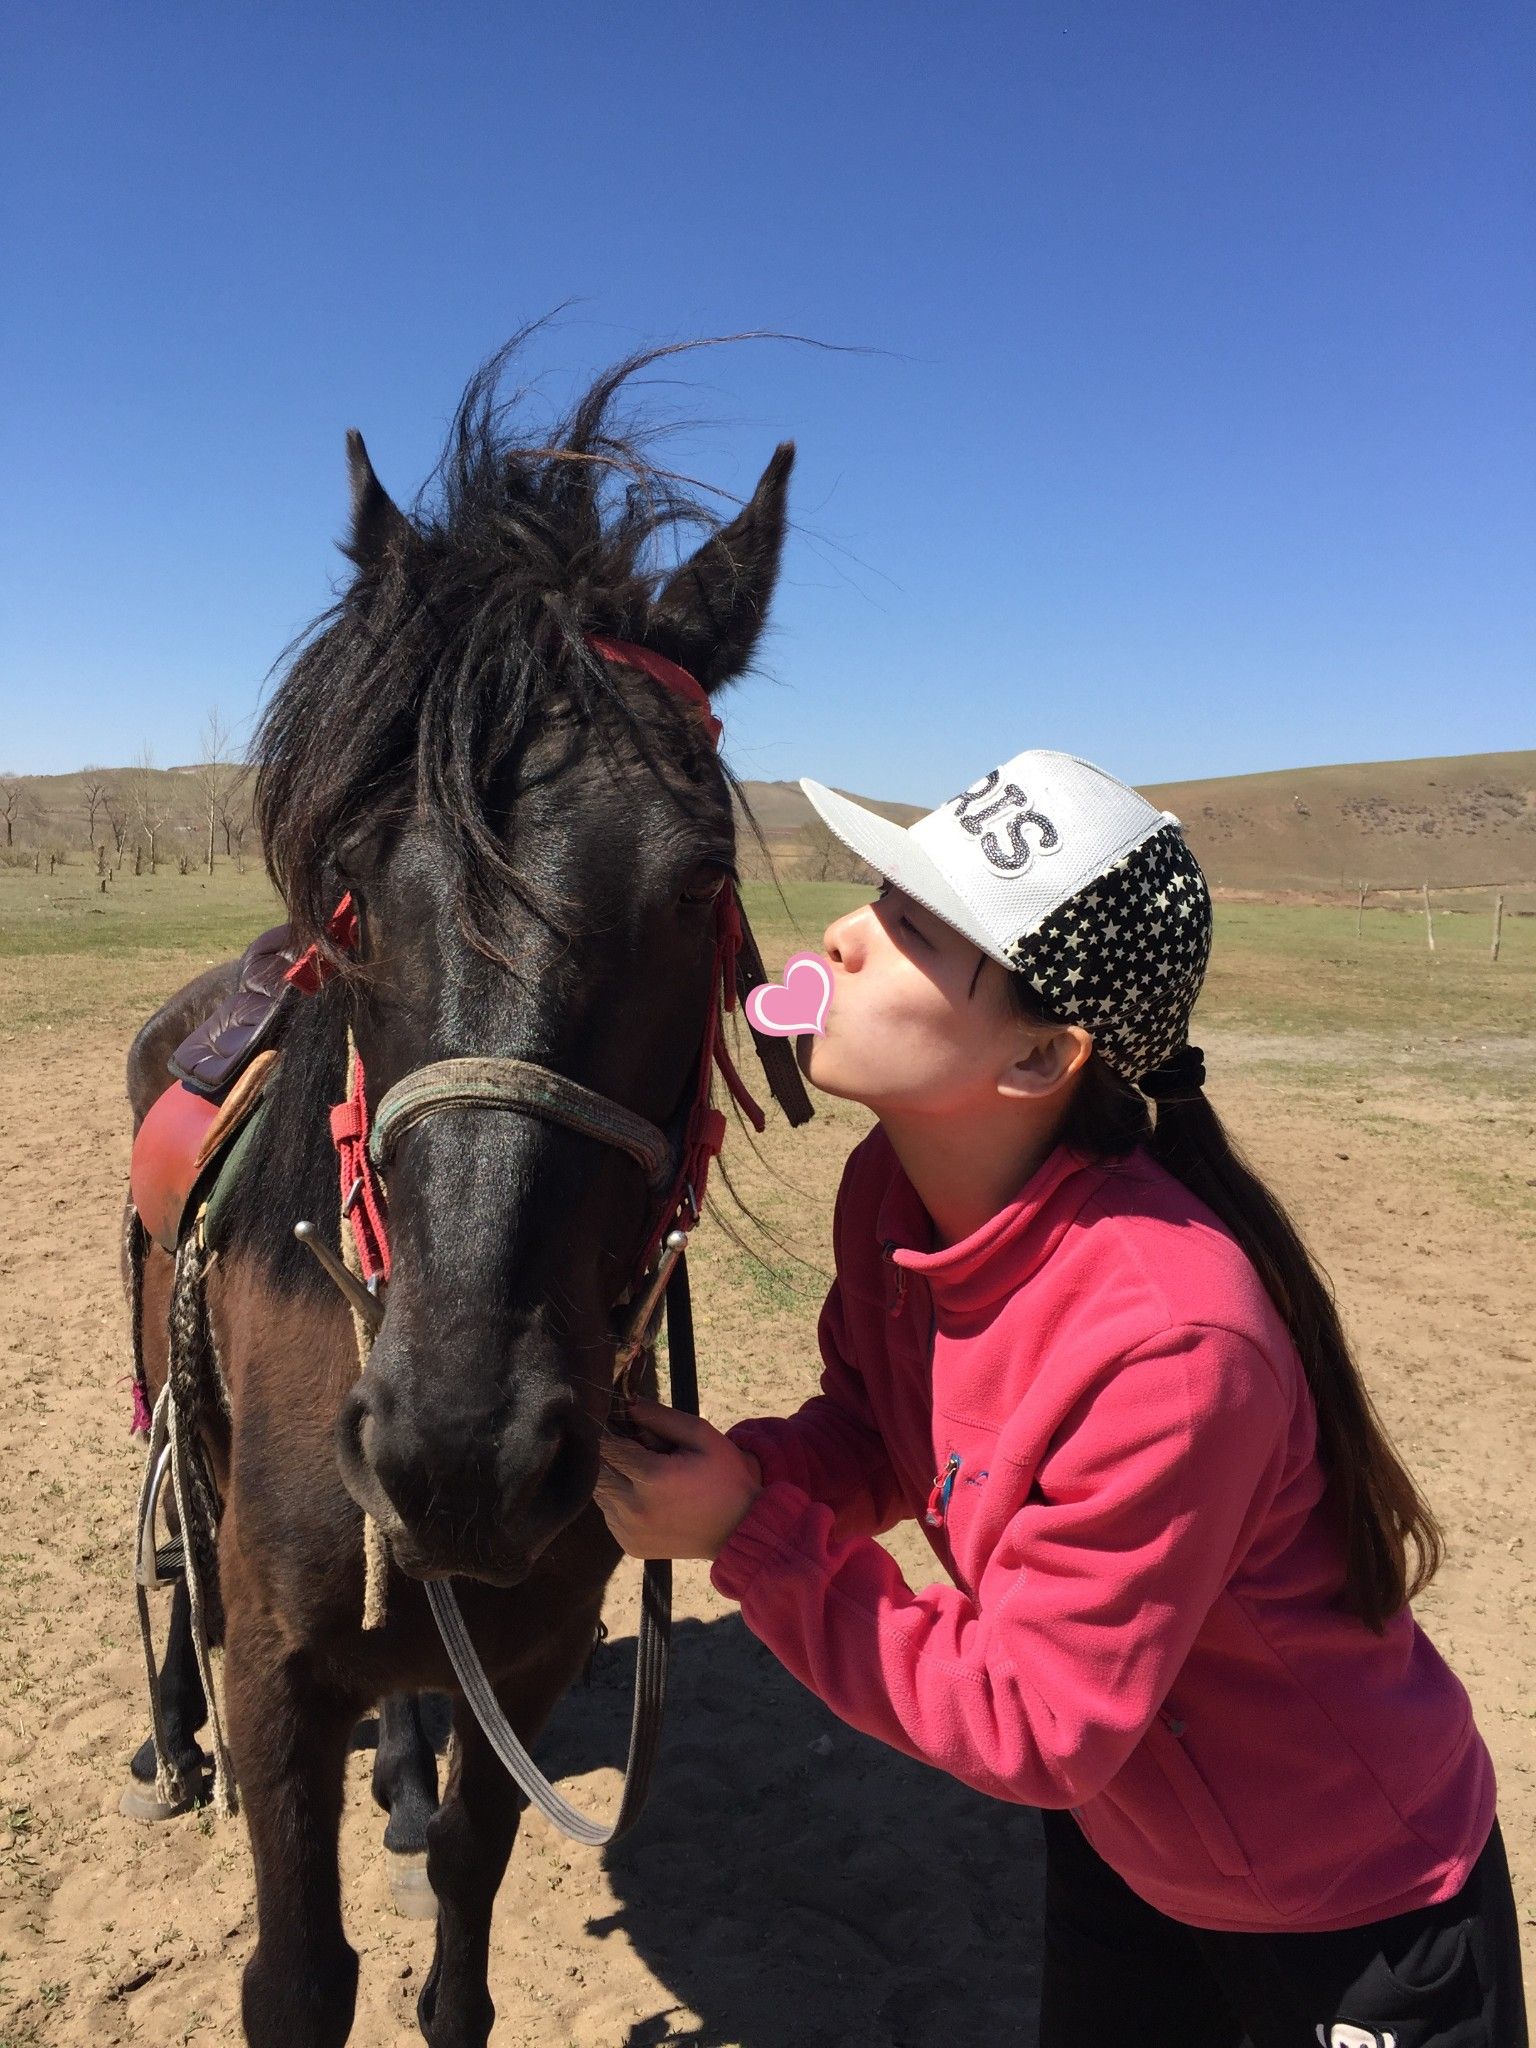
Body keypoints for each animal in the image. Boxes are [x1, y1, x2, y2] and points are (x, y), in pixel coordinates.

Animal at [122, 336, 796, 2047]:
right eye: (354, 880)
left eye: (701, 886)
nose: (465, 1447)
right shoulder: (279, 1676)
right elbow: (299, 1982)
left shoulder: (534, 1651)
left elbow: (459, 1971)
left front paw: (430, 1806)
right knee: (166, 1543)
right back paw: (167, 1742)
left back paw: (411, 1770)